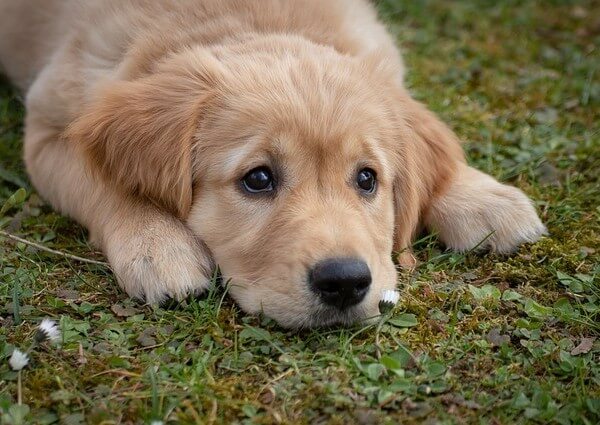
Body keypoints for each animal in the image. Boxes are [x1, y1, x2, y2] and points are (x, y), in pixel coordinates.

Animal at [0, 0, 544, 326]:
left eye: (367, 178)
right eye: (258, 178)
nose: (345, 282)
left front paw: (481, 197)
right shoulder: (49, 128)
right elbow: (103, 182)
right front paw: (157, 245)